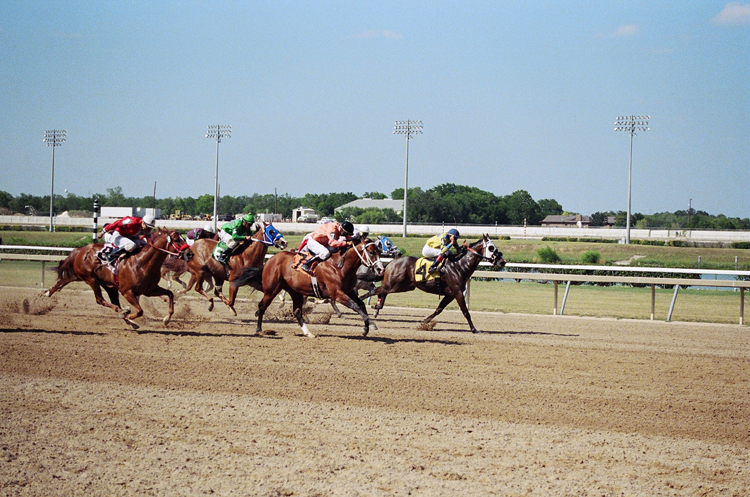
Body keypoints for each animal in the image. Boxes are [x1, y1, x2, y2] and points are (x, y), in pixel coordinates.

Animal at [44, 228, 190, 328]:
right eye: (177, 239)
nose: (189, 253)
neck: (142, 262)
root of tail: (81, 250)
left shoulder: (150, 289)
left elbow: (170, 294)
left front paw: (166, 319)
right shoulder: (127, 291)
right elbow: (140, 310)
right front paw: (130, 315)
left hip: (101, 283)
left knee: (63, 280)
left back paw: (47, 294)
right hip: (91, 279)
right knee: (100, 300)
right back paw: (123, 312)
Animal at [248, 238, 384, 337]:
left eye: (380, 252)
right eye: (371, 252)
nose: (380, 269)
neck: (340, 266)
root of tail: (270, 259)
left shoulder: (349, 291)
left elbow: (361, 305)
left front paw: (367, 327)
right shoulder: (337, 293)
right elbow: (355, 306)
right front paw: (369, 322)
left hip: (295, 291)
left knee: (297, 312)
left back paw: (309, 333)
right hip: (271, 290)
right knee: (262, 306)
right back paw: (259, 329)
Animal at [366, 234, 505, 333]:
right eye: (491, 248)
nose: (502, 262)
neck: (459, 265)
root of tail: (391, 262)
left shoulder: (450, 294)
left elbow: (439, 309)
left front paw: (424, 323)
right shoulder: (457, 292)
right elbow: (465, 311)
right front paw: (474, 329)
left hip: (403, 286)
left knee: (382, 291)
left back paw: (377, 307)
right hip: (395, 285)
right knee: (378, 290)